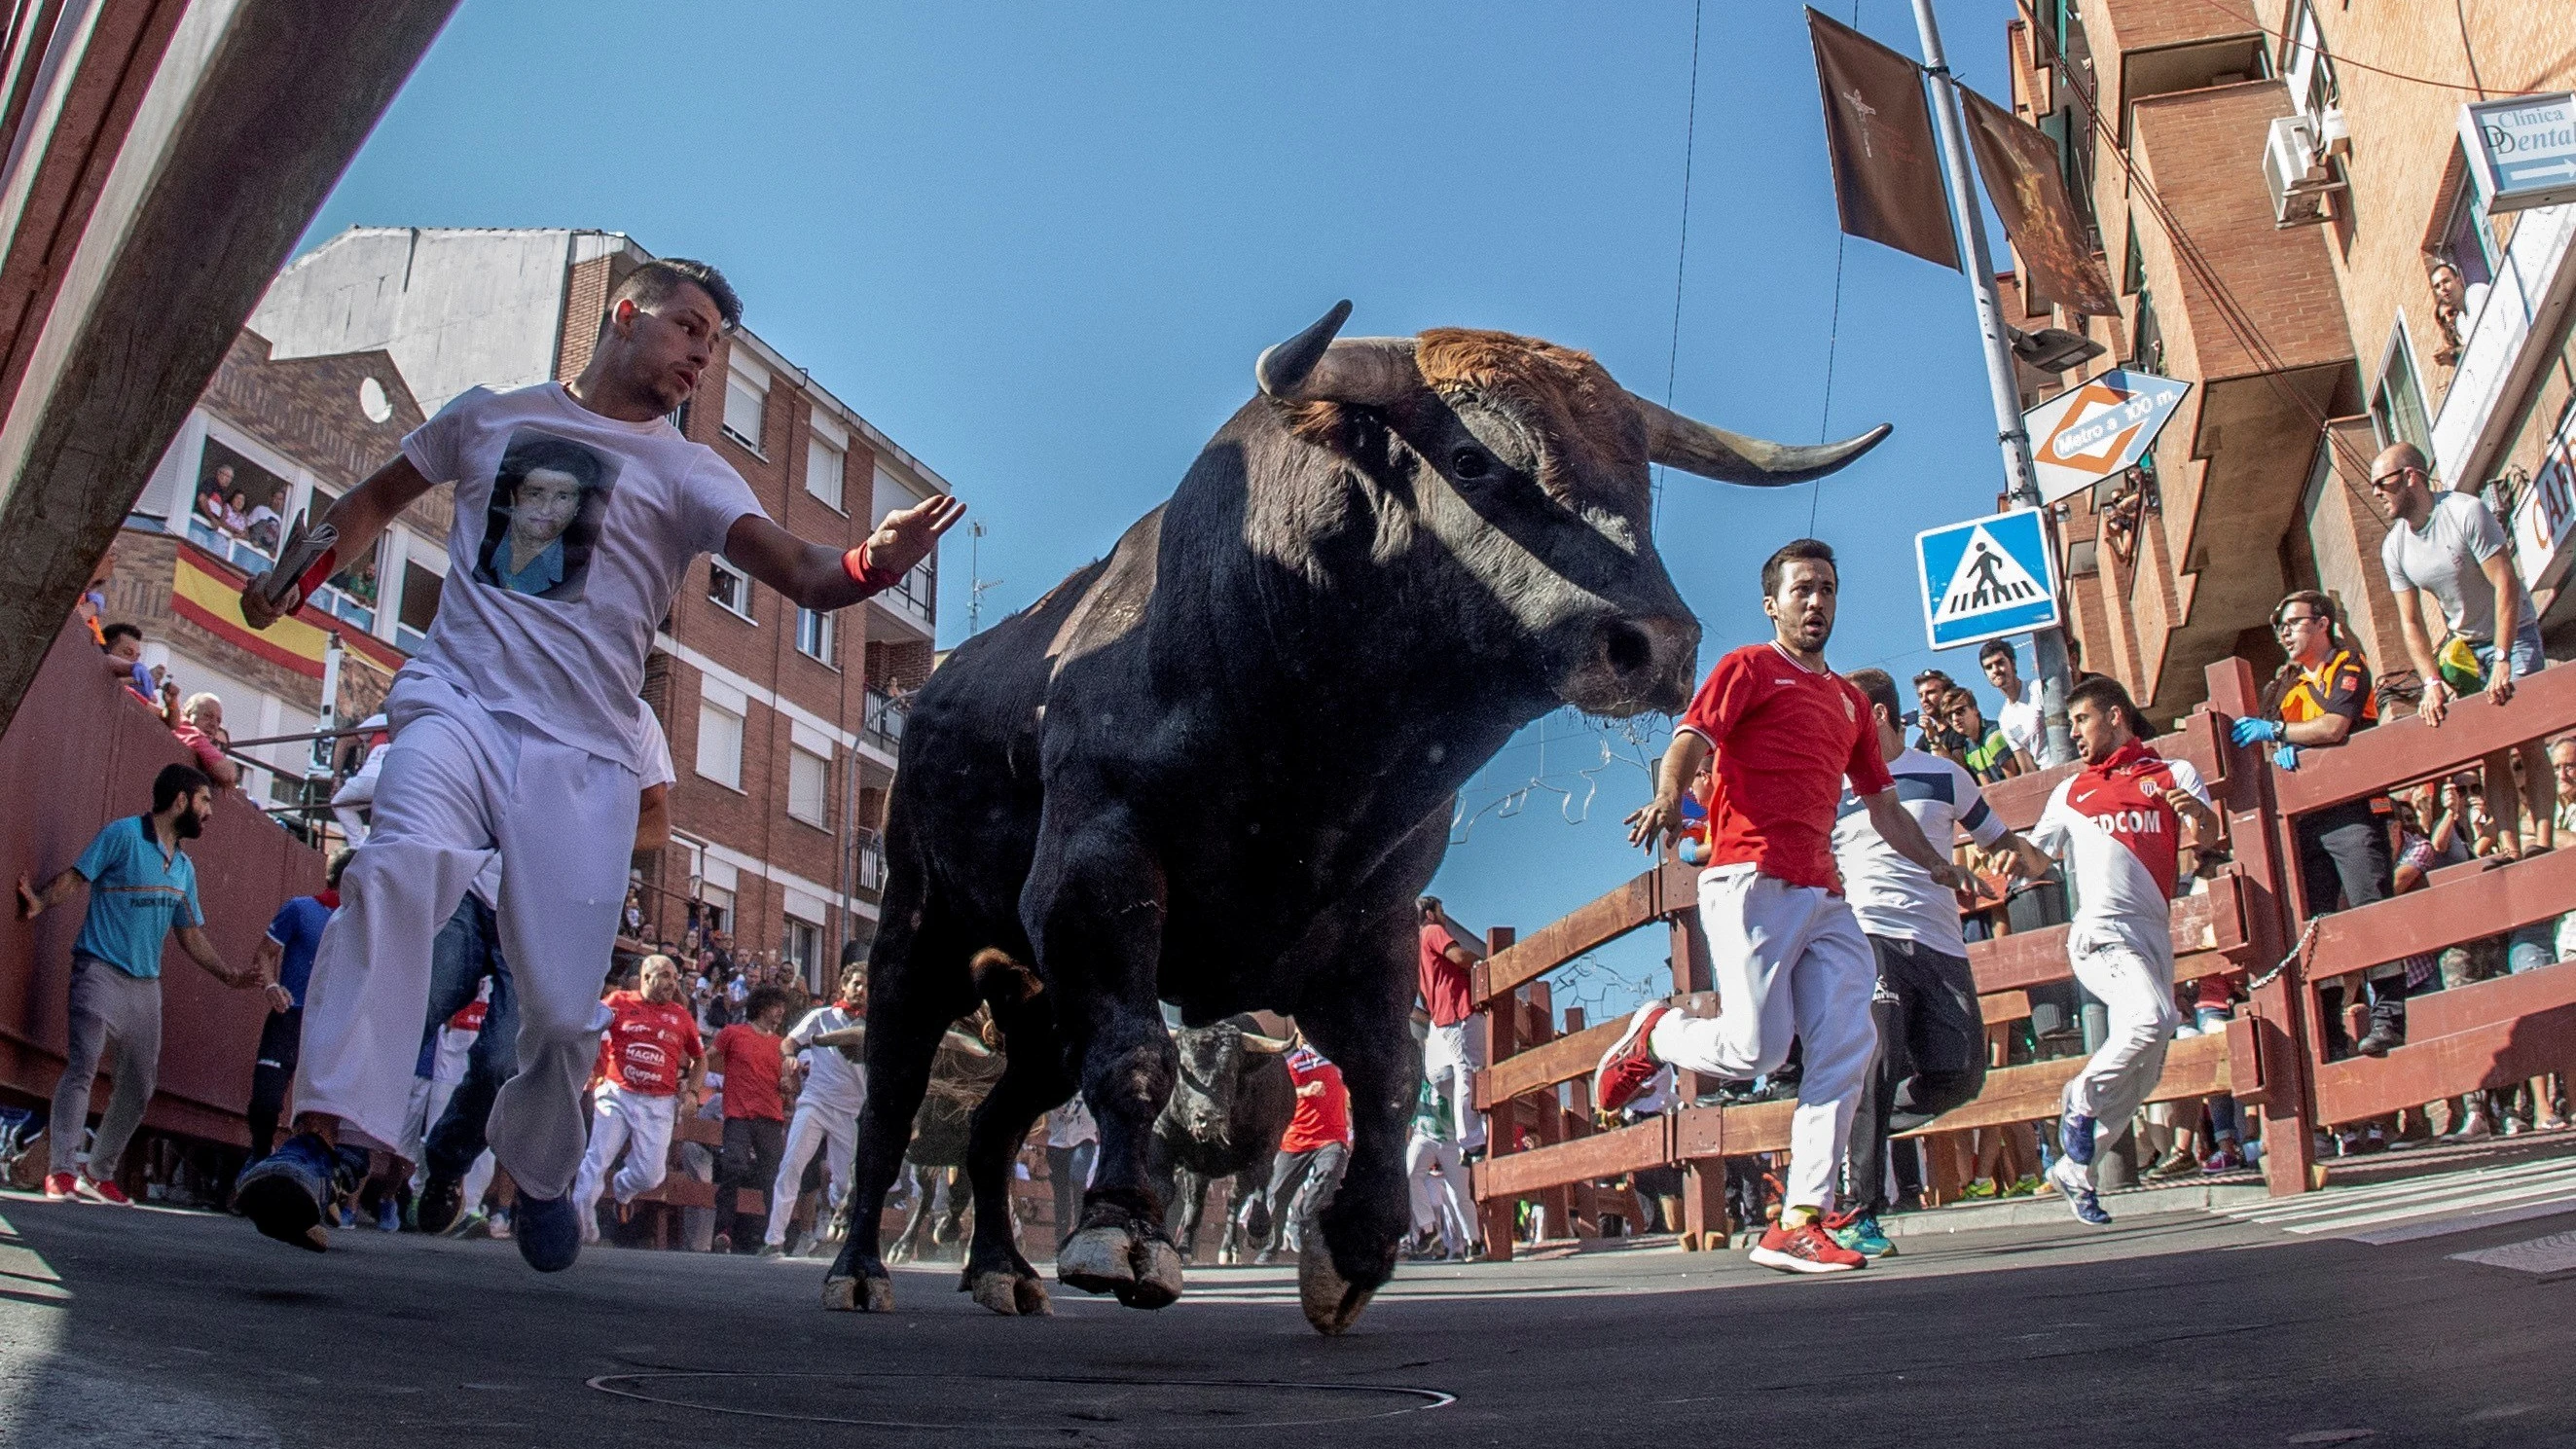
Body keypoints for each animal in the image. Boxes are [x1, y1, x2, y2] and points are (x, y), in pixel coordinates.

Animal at [824, 306, 1896, 1338]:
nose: (1657, 643)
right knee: (889, 1106)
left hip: (1036, 1001)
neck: (1311, 745)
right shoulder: (1095, 878)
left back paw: (1001, 1269)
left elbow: (1382, 1075)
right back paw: (859, 1268)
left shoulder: (1371, 924)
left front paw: (1352, 1249)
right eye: (1471, 458)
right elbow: (1136, 1054)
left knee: (994, 1125)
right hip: (919, 937)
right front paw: (1123, 1229)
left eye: (1637, 473)